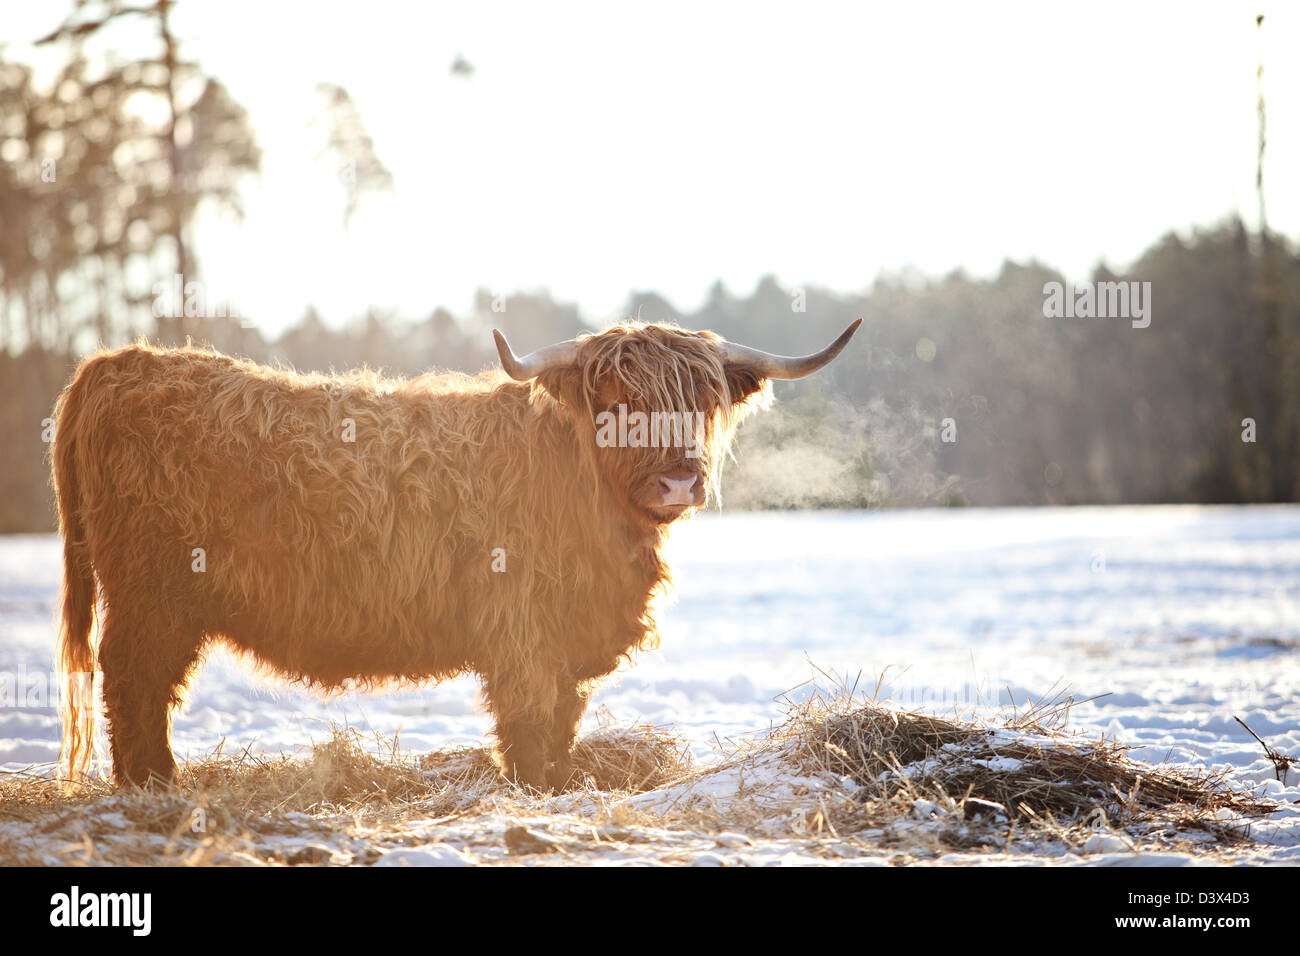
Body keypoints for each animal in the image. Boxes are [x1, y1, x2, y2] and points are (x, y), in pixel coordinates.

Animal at [53, 317, 863, 790]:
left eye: (703, 399)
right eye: (615, 398)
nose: (678, 479)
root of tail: (117, 365)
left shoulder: (567, 645)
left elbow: (564, 724)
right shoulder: (522, 633)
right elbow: (529, 725)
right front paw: (534, 793)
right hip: (153, 594)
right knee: (132, 684)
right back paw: (153, 788)